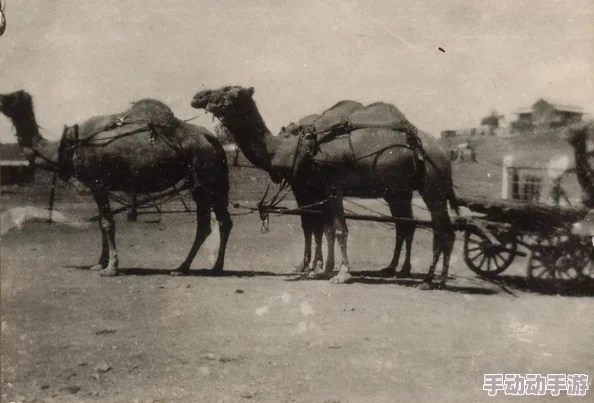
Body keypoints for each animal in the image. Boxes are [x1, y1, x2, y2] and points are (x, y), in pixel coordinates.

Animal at [0, 90, 231, 278]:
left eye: (9, 98)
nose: (0, 98)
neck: (68, 146)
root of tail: (212, 140)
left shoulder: (98, 183)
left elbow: (107, 224)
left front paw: (111, 268)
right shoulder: (97, 186)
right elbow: (103, 223)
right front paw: (99, 264)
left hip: (207, 177)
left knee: (214, 222)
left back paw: (199, 267)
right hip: (200, 183)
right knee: (215, 222)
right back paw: (195, 267)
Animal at [192, 86, 456, 290]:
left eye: (230, 91)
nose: (198, 96)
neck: (291, 150)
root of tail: (444, 152)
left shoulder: (330, 187)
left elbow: (336, 229)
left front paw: (339, 273)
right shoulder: (316, 190)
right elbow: (322, 228)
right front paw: (321, 268)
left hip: (433, 183)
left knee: (441, 228)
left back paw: (431, 279)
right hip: (398, 191)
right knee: (408, 225)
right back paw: (398, 269)